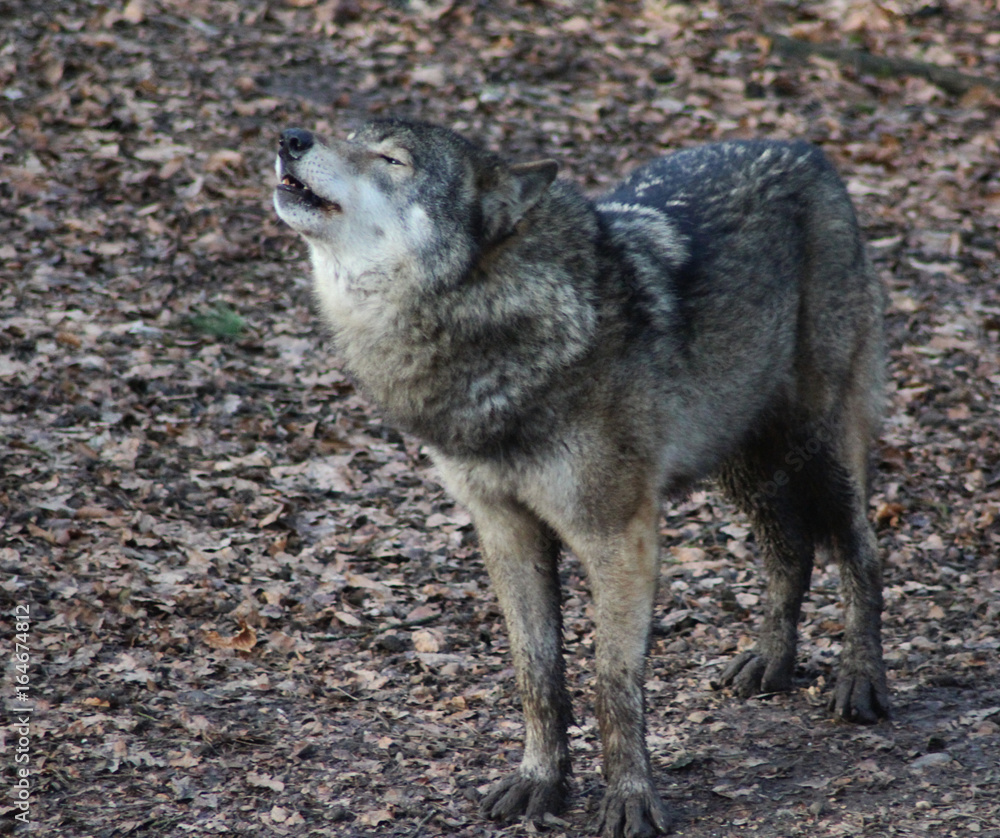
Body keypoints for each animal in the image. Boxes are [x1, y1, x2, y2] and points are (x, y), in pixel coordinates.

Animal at [272, 118, 888, 837]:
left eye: (392, 160)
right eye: (347, 134)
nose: (291, 137)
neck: (495, 326)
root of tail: (807, 151)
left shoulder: (619, 538)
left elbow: (611, 684)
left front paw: (628, 800)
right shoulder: (504, 530)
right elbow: (537, 673)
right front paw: (541, 783)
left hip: (818, 446)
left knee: (860, 549)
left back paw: (861, 681)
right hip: (743, 460)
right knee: (789, 548)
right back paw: (771, 662)